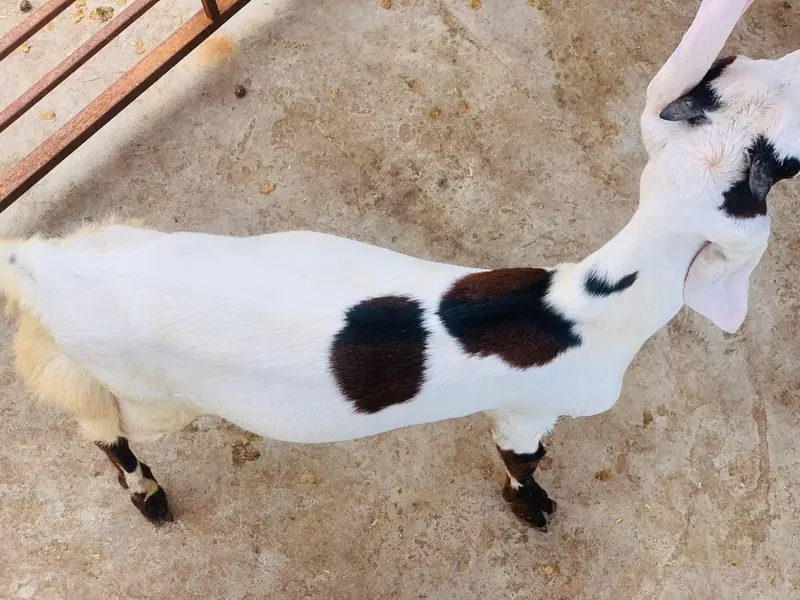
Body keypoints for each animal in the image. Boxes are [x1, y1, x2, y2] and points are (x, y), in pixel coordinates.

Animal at [2, 0, 797, 529]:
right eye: (787, 159)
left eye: (734, 69)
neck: (590, 303)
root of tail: (44, 268)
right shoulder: (529, 410)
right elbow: (523, 460)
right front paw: (532, 508)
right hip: (146, 393)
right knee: (101, 424)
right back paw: (148, 493)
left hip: (125, 242)